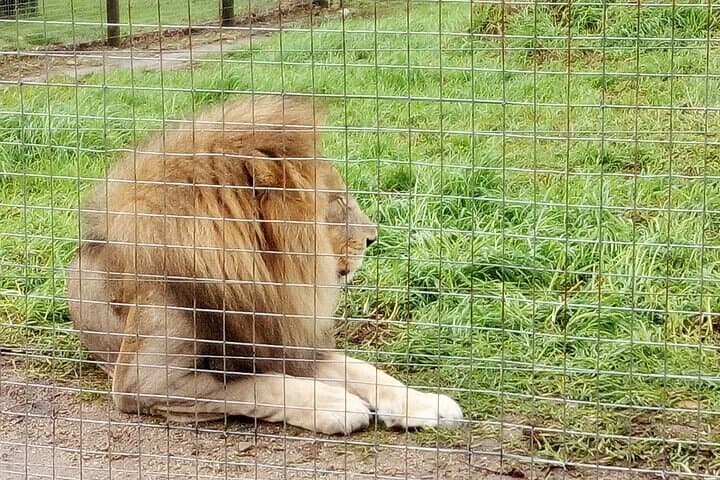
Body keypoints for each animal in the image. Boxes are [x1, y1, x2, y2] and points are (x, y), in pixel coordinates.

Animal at [67, 96, 463, 434]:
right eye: (337, 201)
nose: (373, 237)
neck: (265, 277)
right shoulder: (145, 382)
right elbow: (259, 386)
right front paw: (336, 405)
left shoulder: (286, 340)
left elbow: (364, 370)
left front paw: (427, 405)